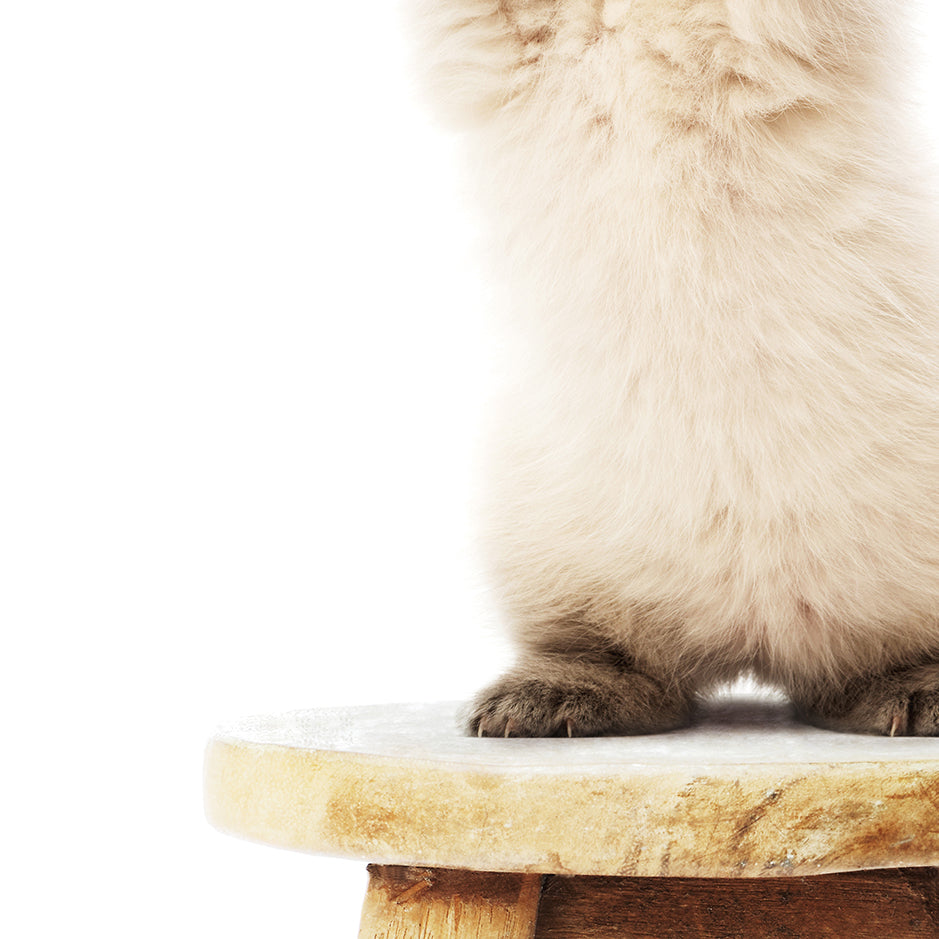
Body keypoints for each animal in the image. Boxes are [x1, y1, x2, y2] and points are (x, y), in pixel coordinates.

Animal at [410, 0, 939, 736]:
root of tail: (753, 643)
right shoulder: (510, 39)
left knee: (875, 660)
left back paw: (916, 695)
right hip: (550, 547)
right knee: (618, 656)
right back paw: (543, 700)